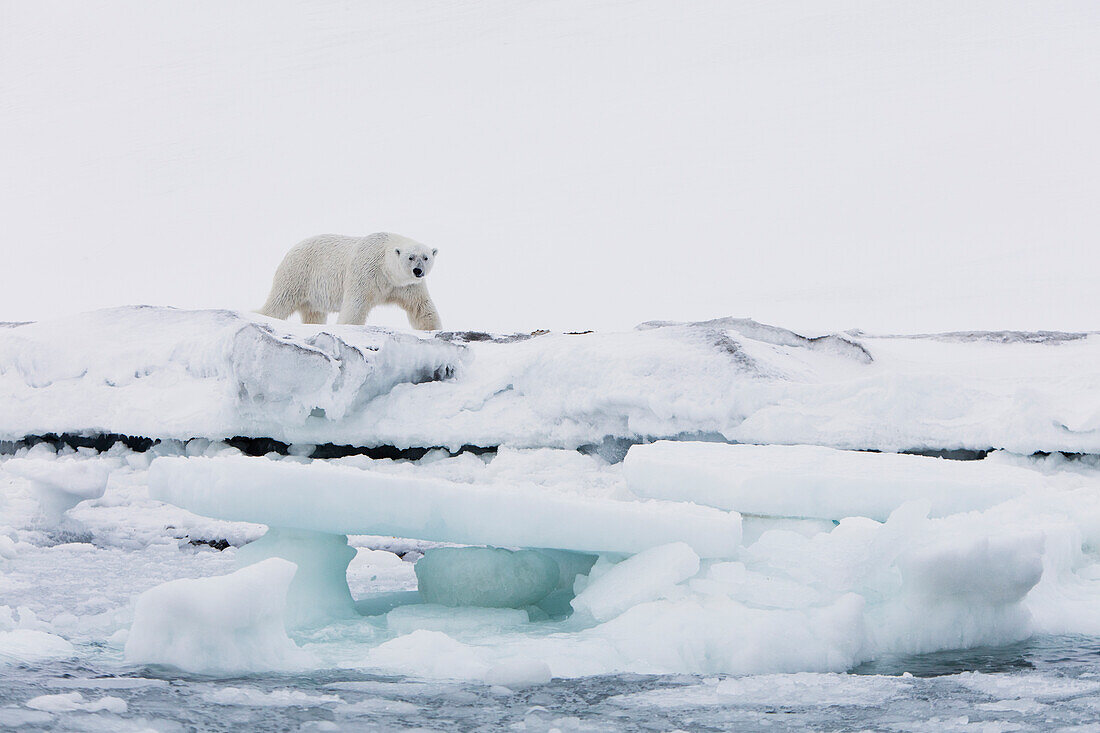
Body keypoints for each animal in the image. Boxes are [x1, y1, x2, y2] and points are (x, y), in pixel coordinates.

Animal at [258, 231, 442, 327]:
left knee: (314, 312)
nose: (418, 271)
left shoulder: (406, 285)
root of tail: (291, 250)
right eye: (411, 257)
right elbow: (356, 305)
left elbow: (421, 306)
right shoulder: (366, 272)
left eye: (425, 257)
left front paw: (432, 330)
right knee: (280, 301)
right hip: (299, 273)